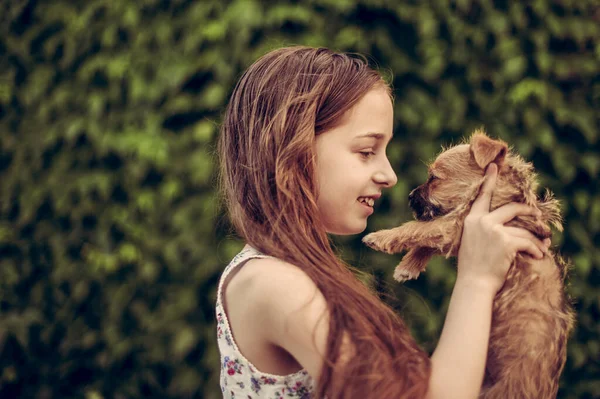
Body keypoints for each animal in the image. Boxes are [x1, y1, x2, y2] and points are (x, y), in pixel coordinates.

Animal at [364, 131, 576, 399]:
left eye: (434, 178)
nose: (410, 196)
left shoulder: (456, 223)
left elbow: (419, 228)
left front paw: (380, 237)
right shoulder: (459, 227)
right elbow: (427, 239)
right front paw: (409, 265)